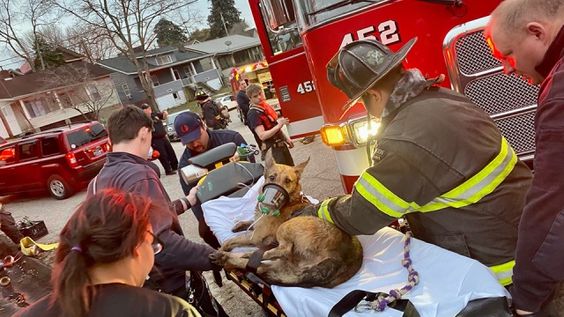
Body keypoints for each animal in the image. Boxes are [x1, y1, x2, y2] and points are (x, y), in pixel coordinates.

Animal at [209, 151, 364, 286]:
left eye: (288, 181)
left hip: (286, 228)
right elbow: (250, 221)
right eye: (272, 177)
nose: (270, 202)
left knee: (282, 250)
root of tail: (343, 259)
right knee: (259, 266)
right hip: (283, 267)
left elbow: (231, 240)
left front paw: (222, 247)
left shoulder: (255, 237)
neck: (290, 200)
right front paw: (241, 224)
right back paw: (227, 257)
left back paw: (242, 254)